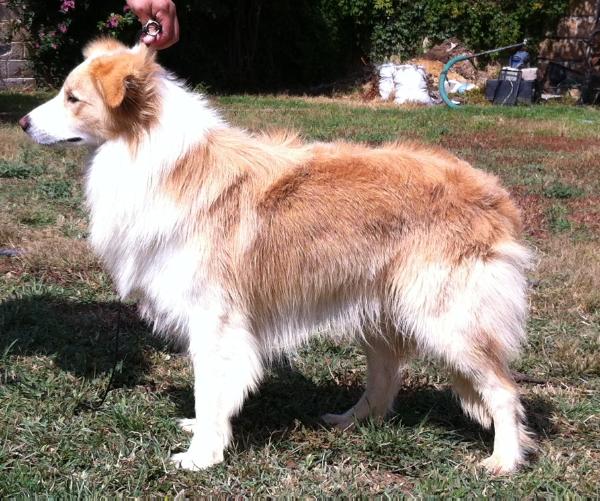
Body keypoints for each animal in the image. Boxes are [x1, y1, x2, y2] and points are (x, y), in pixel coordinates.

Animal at [19, 39, 536, 472]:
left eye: (73, 98)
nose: (21, 123)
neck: (150, 155)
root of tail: (497, 196)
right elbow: (211, 395)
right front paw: (200, 432)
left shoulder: (215, 321)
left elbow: (210, 389)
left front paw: (201, 455)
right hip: (381, 313)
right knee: (385, 379)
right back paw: (351, 422)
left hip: (448, 319)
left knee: (503, 391)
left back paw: (504, 461)